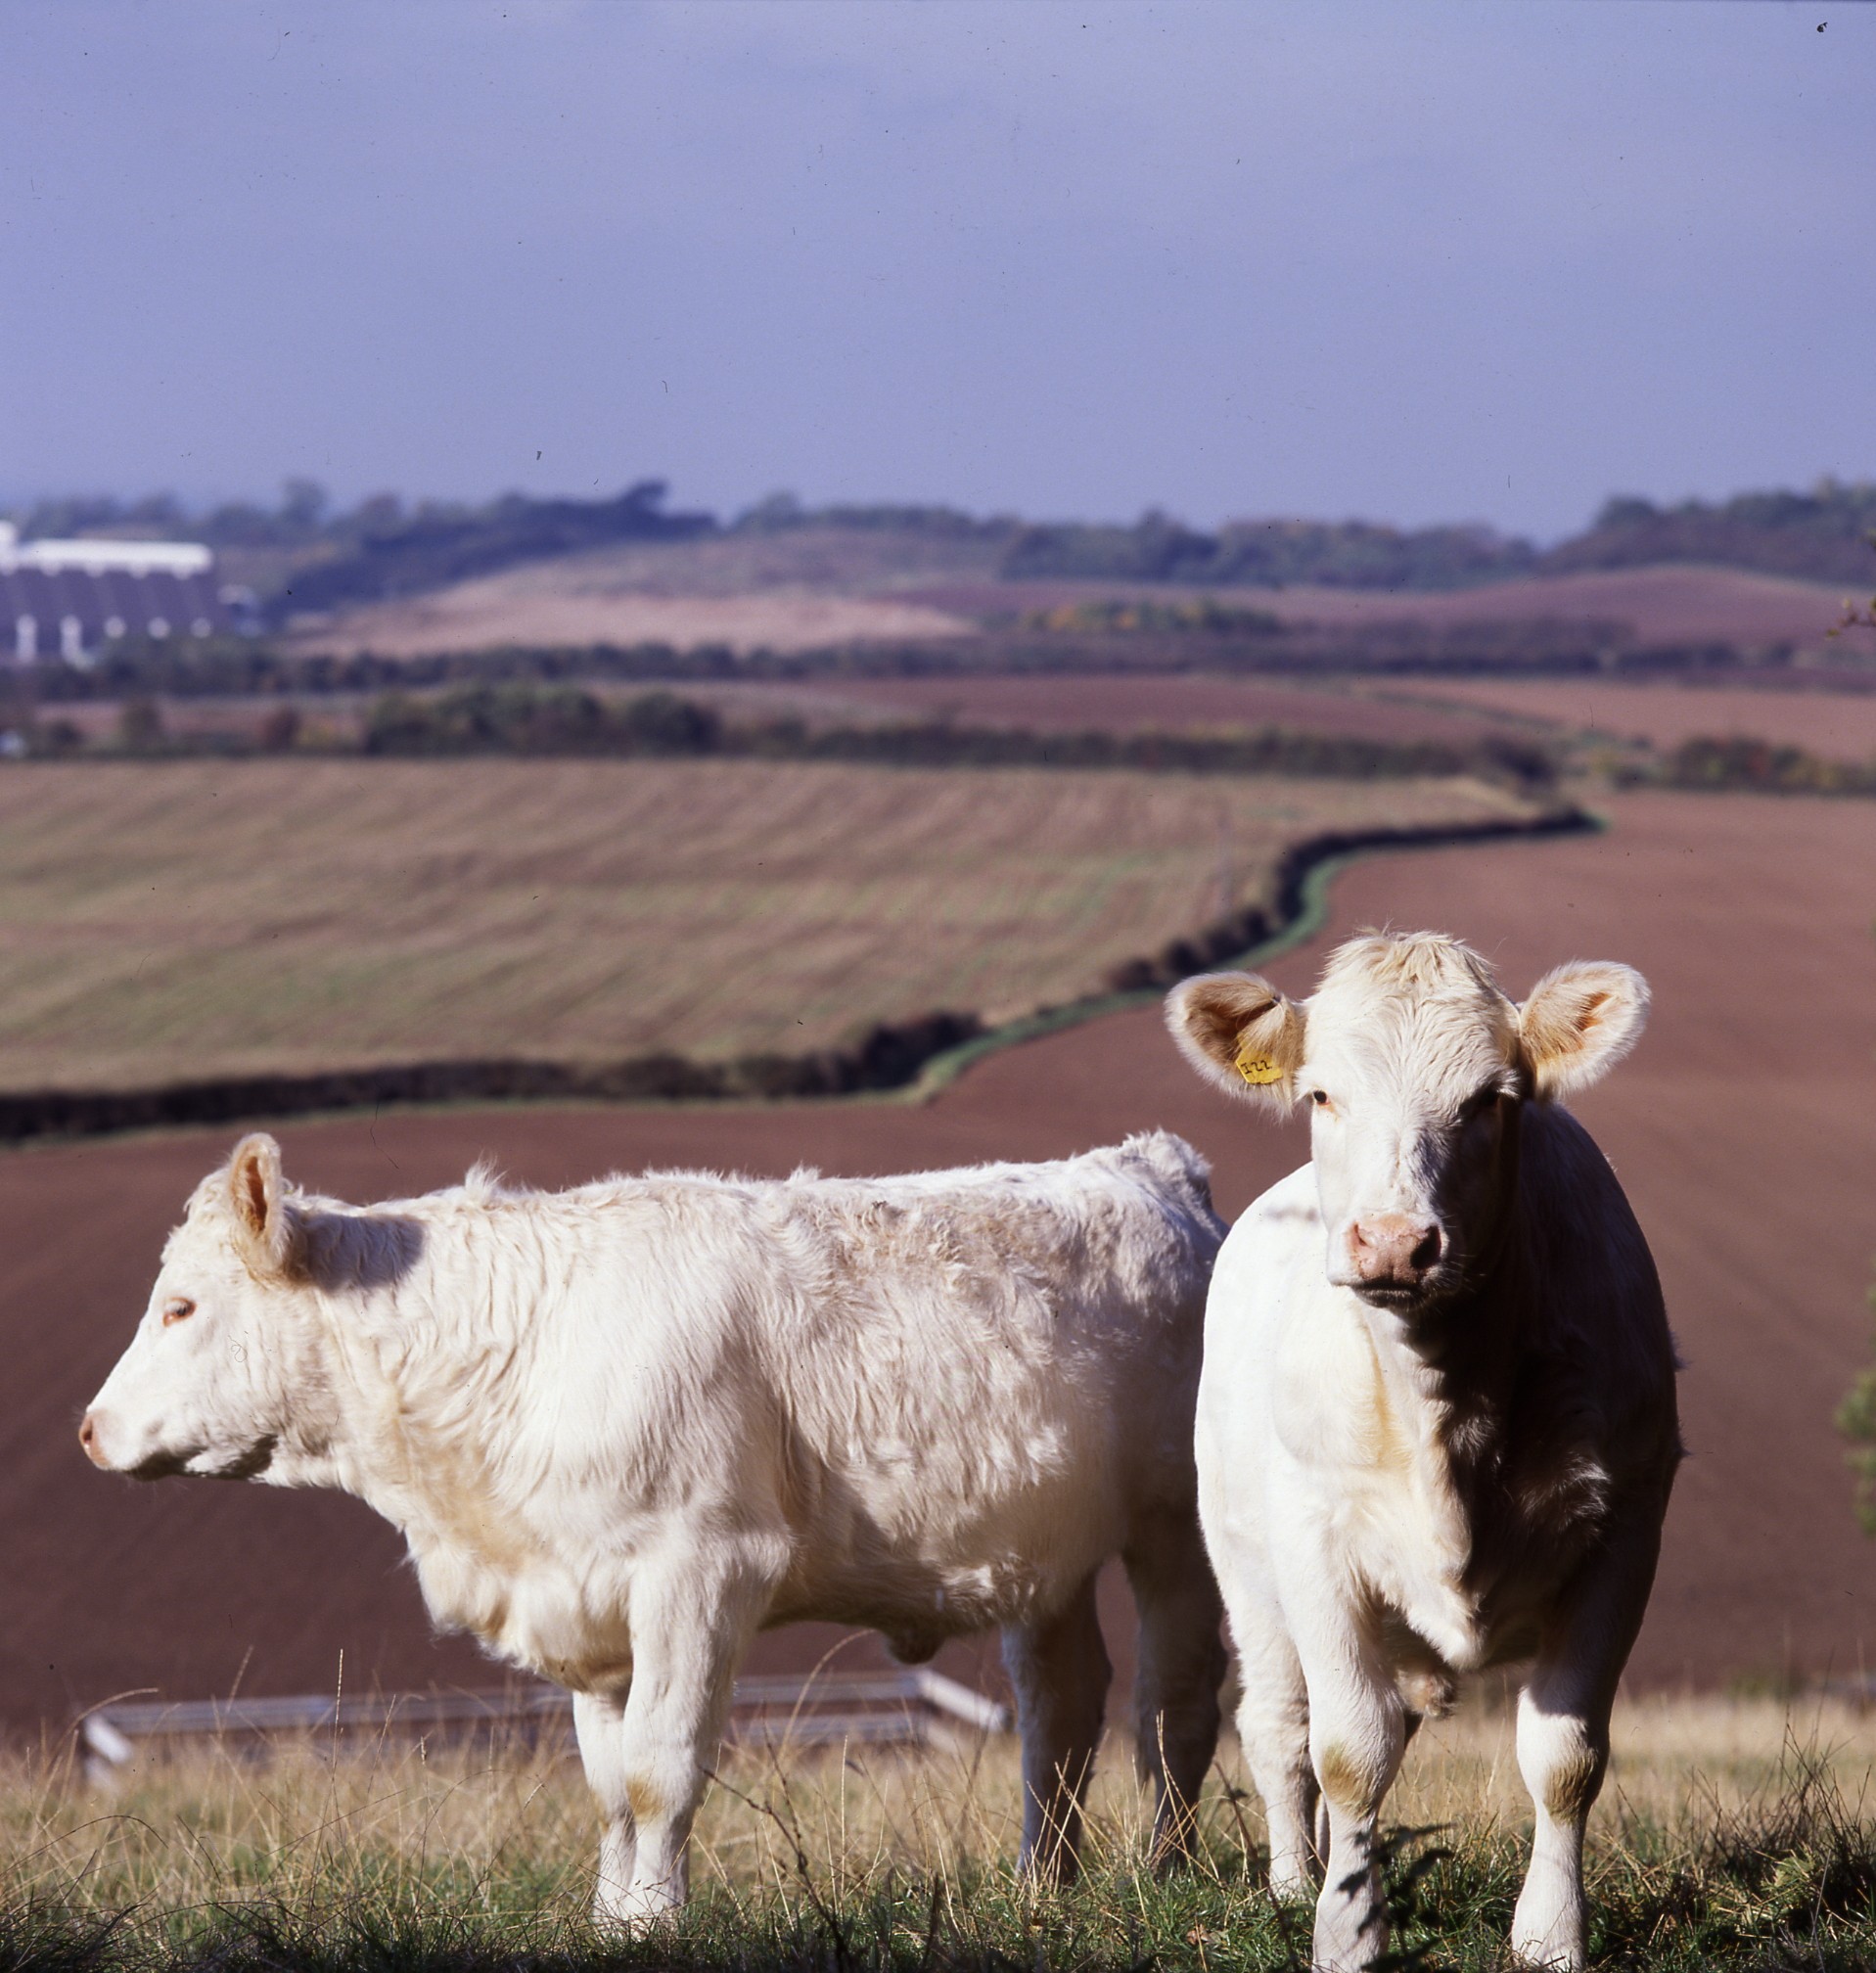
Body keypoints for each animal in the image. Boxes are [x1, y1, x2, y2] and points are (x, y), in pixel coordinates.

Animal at [81, 1130, 1228, 1928]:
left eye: (181, 1307)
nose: (90, 1431)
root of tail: (1152, 1166)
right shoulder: (583, 1599)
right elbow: (606, 1789)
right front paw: (605, 1917)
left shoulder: (698, 1572)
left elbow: (657, 1768)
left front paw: (652, 1924)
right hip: (1043, 1550)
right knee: (1060, 1708)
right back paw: (1044, 1887)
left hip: (1177, 1529)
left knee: (1172, 1702)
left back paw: (1164, 1873)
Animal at [1165, 932, 1679, 1972]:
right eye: (1320, 1094)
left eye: (1489, 1099)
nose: (1395, 1244)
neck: (1445, 1412)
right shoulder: (1316, 1547)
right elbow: (1345, 1754)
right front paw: (1342, 1934)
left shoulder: (1624, 1535)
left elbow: (1565, 1759)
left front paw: (1549, 1936)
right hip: (1243, 1571)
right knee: (1280, 1728)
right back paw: (1293, 1884)